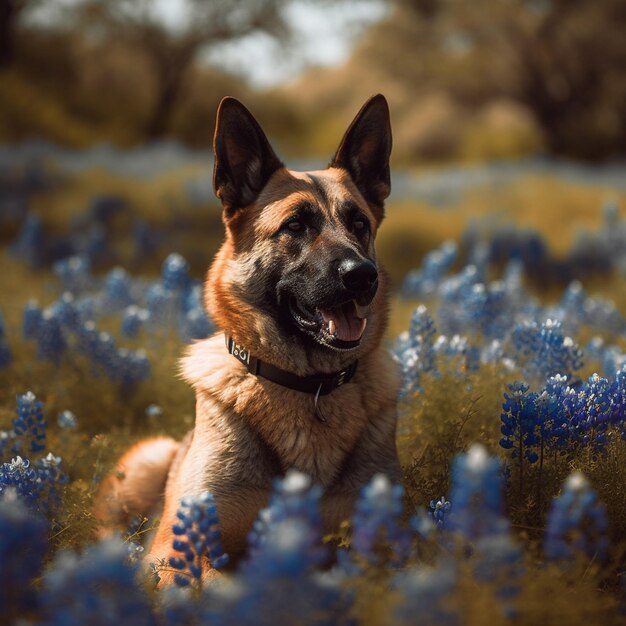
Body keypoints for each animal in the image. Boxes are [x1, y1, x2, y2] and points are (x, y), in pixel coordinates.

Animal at [95, 92, 402, 580]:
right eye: (295, 225)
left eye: (359, 224)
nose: (362, 276)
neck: (309, 387)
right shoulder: (182, 543)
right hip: (148, 459)